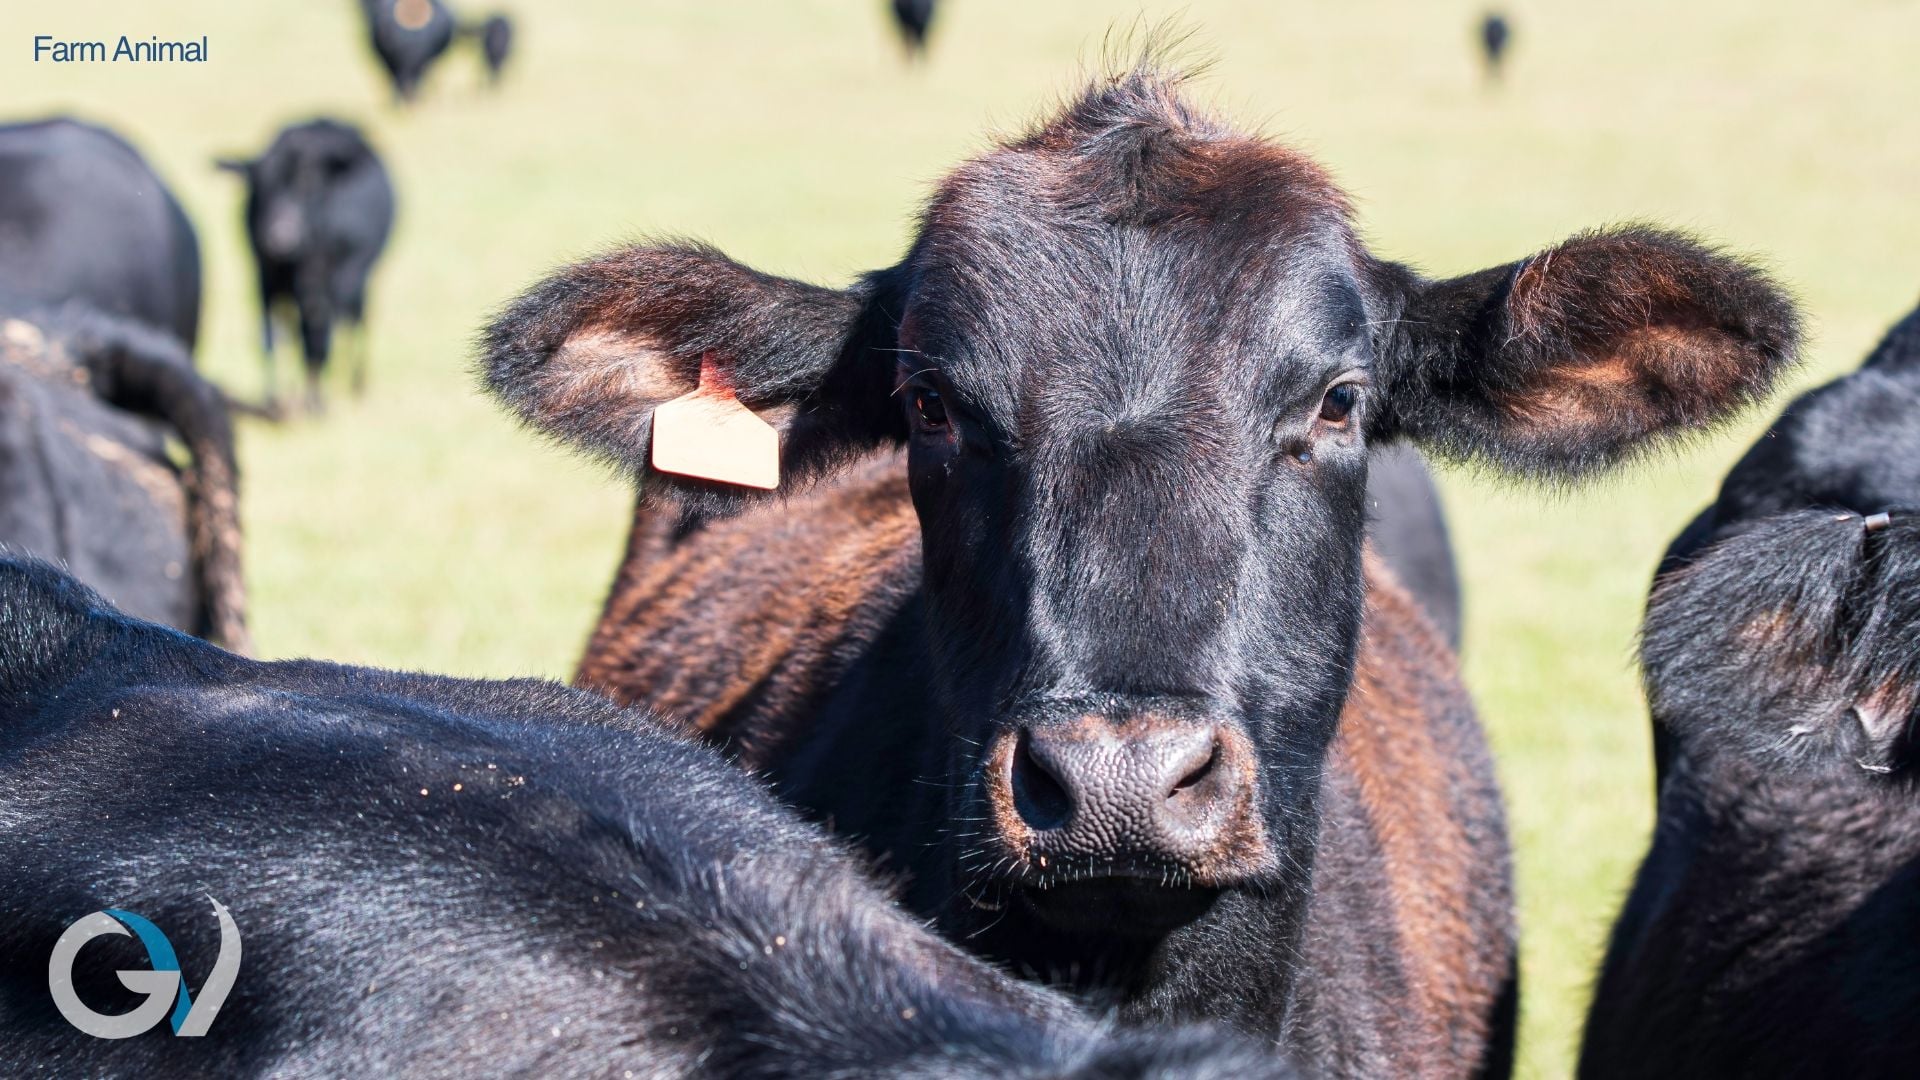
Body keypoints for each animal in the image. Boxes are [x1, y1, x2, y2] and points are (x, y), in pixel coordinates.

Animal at [218, 120, 395, 414]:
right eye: (259, 187)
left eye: (310, 185)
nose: (281, 237)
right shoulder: (264, 275)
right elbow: (271, 335)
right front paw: (274, 399)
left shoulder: (320, 285)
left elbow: (316, 338)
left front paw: (316, 403)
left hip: (355, 279)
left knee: (352, 320)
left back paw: (353, 382)